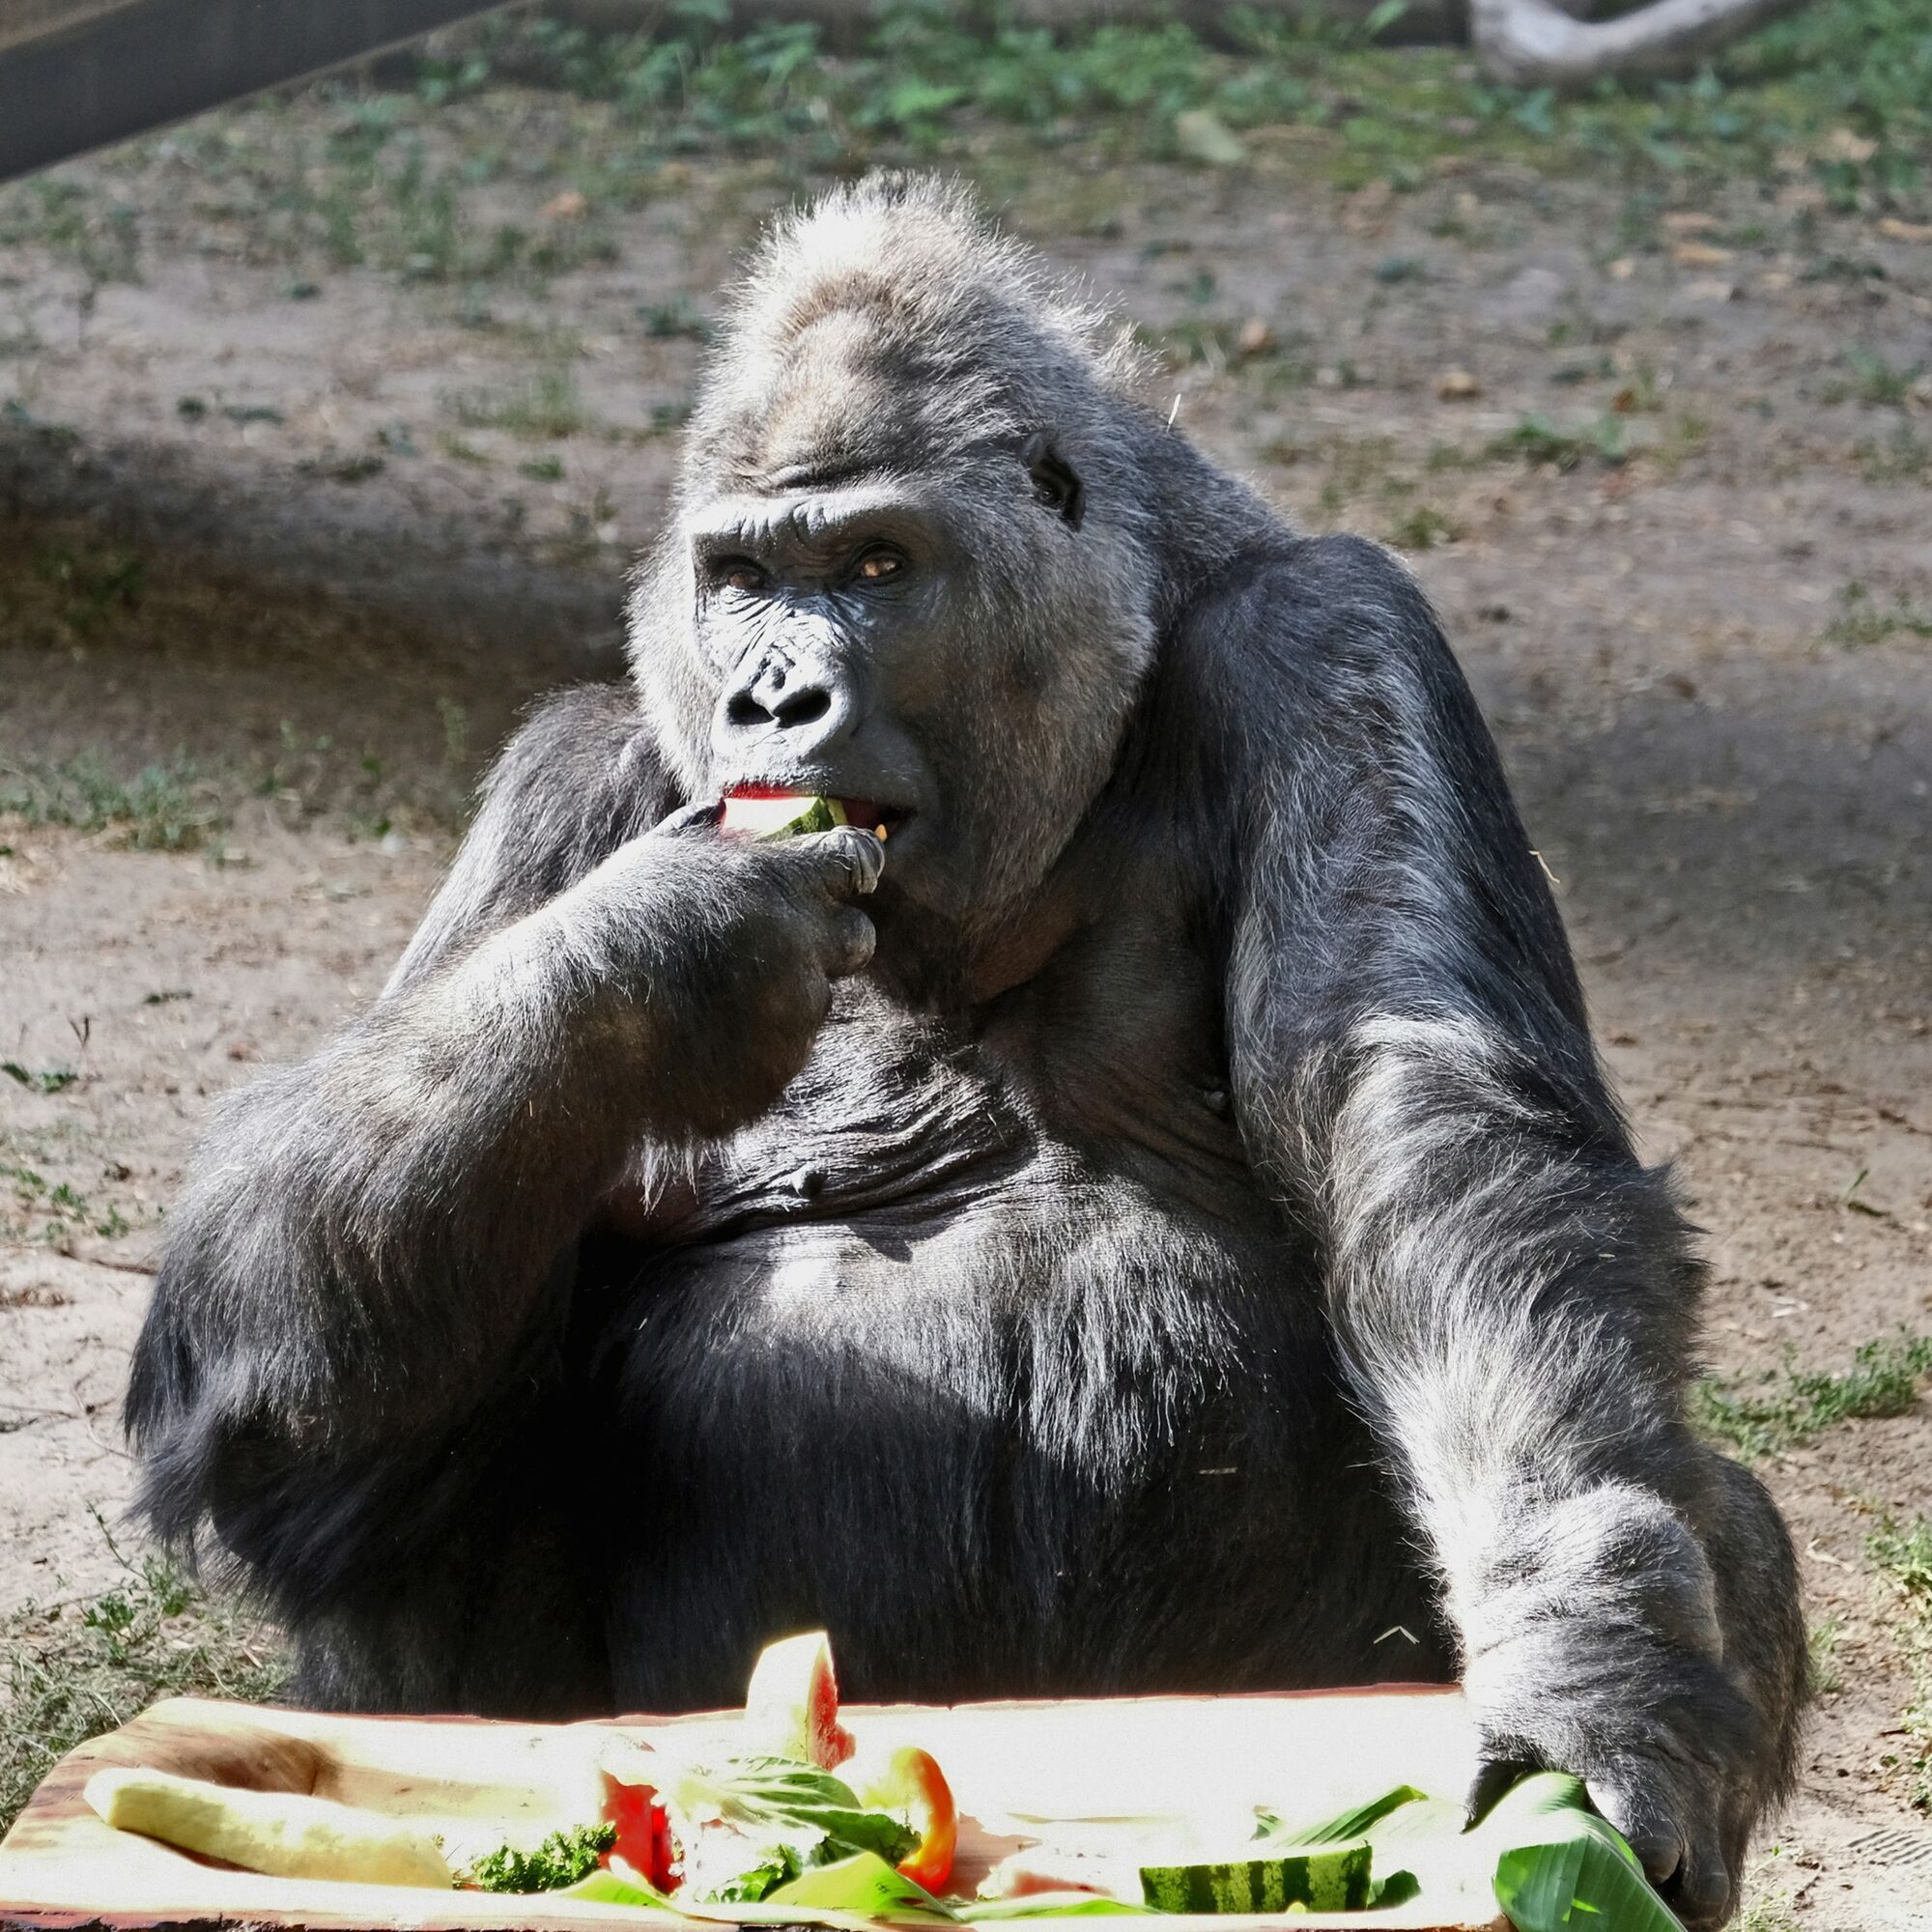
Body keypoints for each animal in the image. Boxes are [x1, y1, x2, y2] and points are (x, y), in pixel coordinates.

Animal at [128, 174, 1801, 1924]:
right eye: (742, 575)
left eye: (877, 562)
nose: (772, 700)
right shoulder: (572, 777)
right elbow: (263, 1351)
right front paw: (656, 961)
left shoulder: (1335, 639)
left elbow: (1443, 1149)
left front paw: (1591, 1682)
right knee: (364, 1482)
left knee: (1712, 1504)